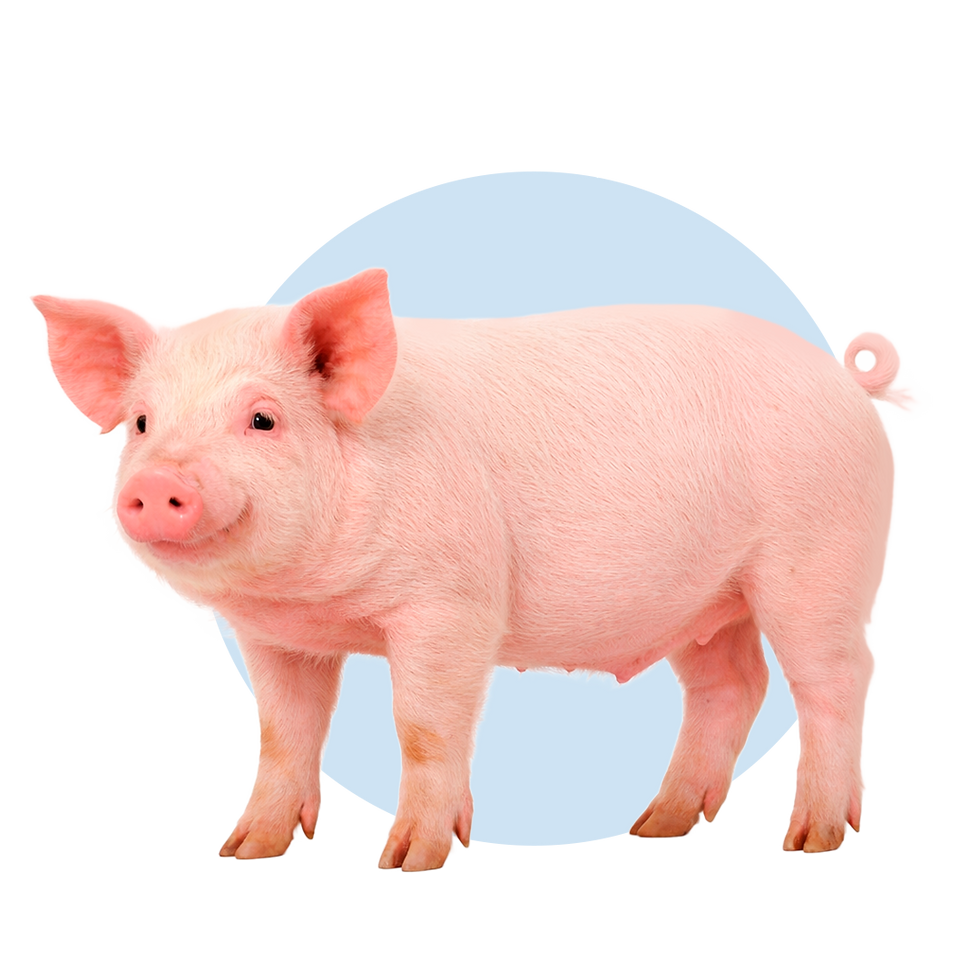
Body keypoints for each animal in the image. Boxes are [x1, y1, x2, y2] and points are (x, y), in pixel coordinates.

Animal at [30, 268, 936, 872]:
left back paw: (811, 839)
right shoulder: (277, 636)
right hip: (707, 598)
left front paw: (409, 861)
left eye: (262, 419)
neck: (318, 599)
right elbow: (283, 731)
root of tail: (845, 383)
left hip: (821, 560)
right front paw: (244, 851)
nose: (157, 485)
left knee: (836, 680)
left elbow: (424, 723)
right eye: (142, 424)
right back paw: (657, 825)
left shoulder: (450, 602)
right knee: (733, 685)